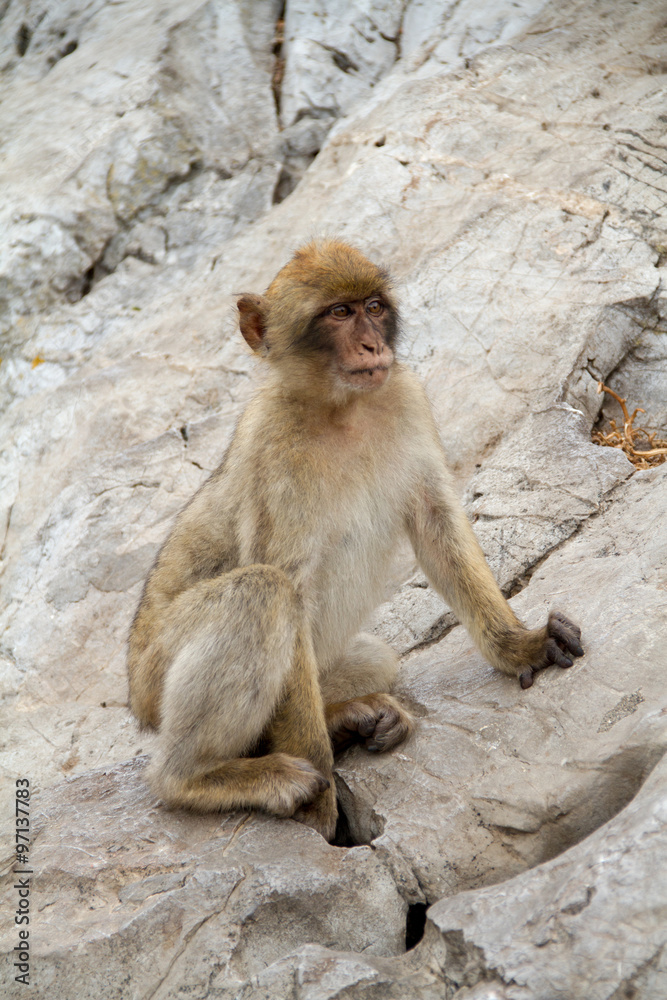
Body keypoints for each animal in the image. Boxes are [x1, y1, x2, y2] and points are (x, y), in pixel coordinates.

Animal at [127, 238, 584, 842]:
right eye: (338, 313)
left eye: (372, 307)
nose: (372, 344)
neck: (342, 409)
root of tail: (135, 698)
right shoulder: (274, 450)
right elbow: (290, 584)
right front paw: (323, 813)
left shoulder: (405, 395)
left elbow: (438, 525)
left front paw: (517, 647)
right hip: (155, 680)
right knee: (260, 593)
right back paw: (199, 778)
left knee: (375, 657)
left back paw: (345, 718)